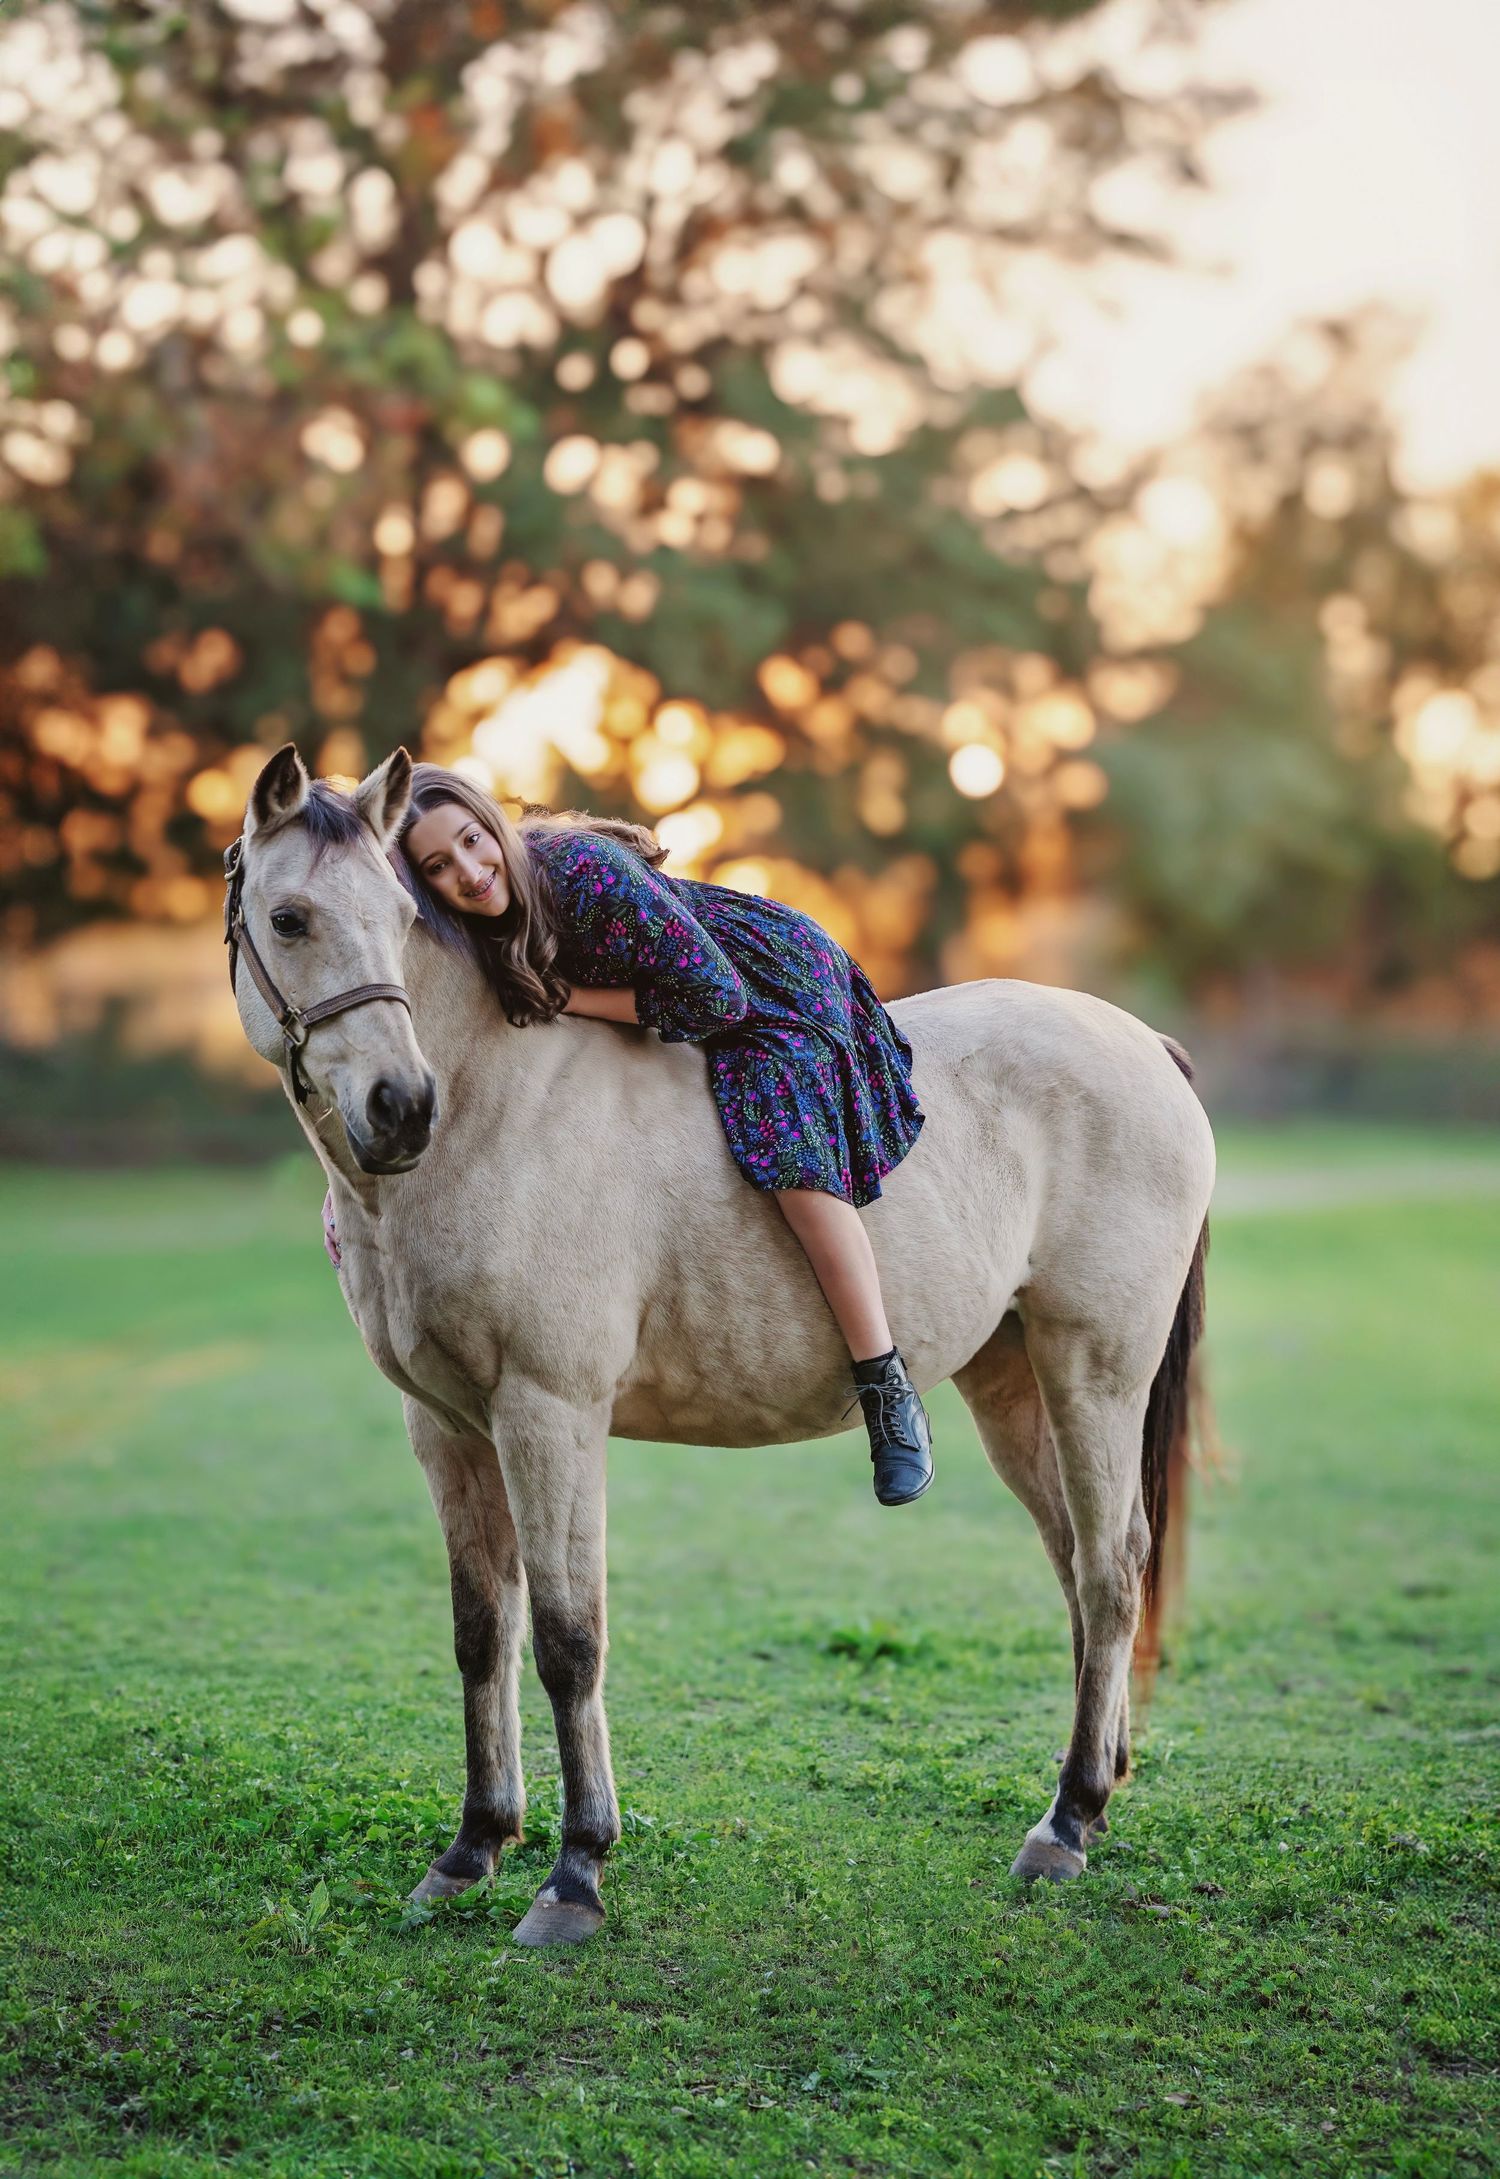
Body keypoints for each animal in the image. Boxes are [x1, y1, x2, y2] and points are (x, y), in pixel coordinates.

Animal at [225, 742, 1215, 1946]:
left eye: (403, 915)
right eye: (290, 918)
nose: (401, 1106)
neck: (491, 1115)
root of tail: (1142, 1042)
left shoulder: (547, 1414)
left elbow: (568, 1639)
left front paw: (574, 1873)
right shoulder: (447, 1427)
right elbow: (481, 1631)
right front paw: (470, 1850)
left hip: (1094, 1371)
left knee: (1113, 1572)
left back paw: (1063, 1823)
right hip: (1014, 1382)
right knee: (1081, 1564)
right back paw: (1096, 1790)